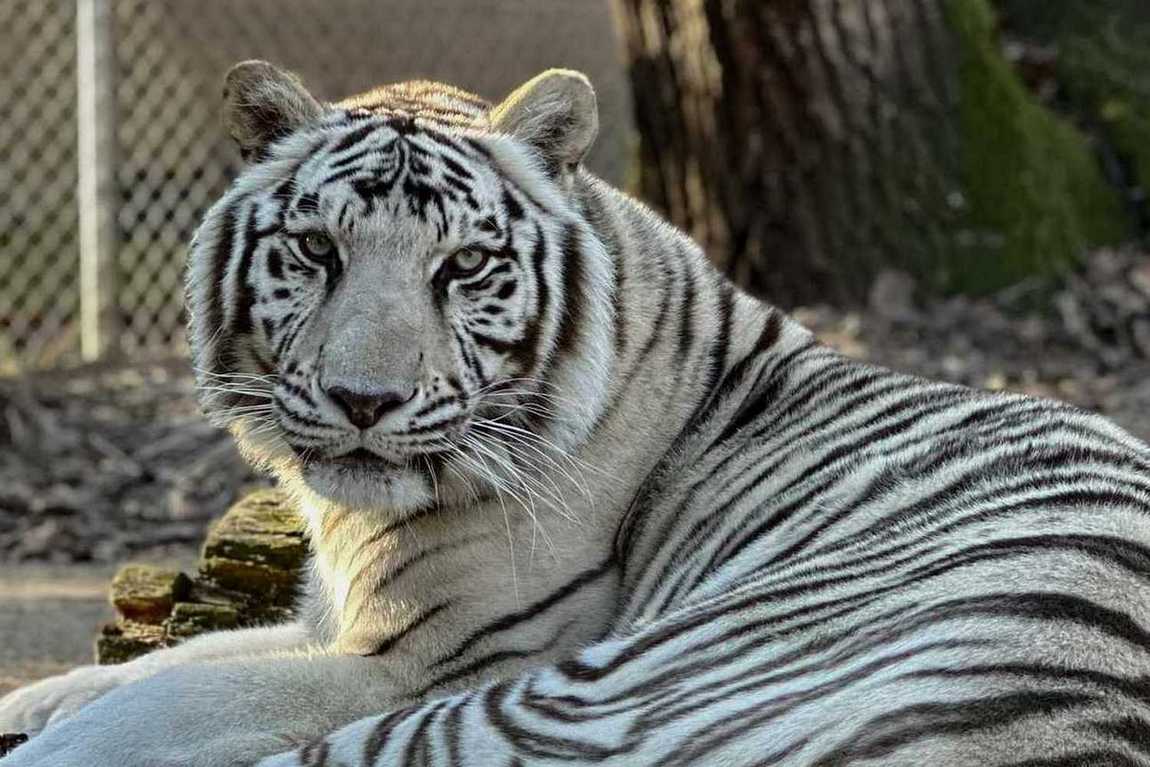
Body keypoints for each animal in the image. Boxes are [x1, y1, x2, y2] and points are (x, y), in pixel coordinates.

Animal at [3, 59, 1150, 767]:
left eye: (464, 266)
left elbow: (163, 700)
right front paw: (34, 700)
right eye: (316, 249)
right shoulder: (327, 621)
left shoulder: (427, 659)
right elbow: (142, 667)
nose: (364, 400)